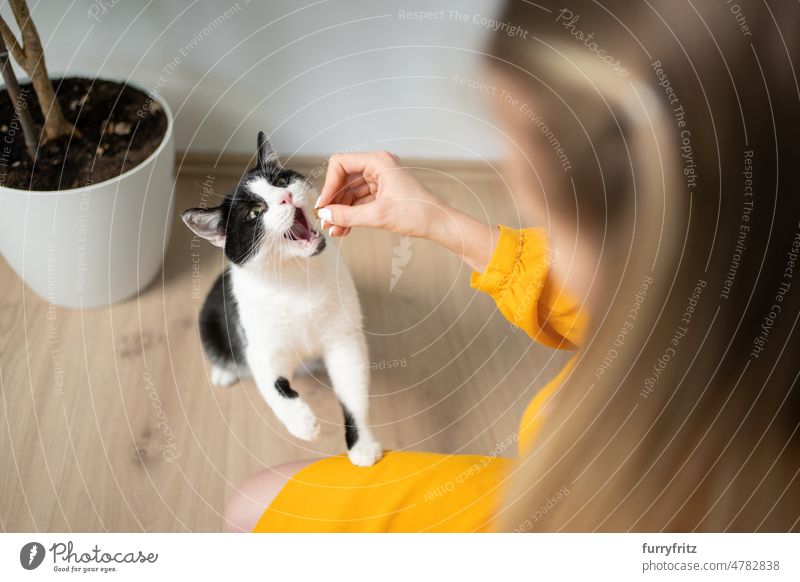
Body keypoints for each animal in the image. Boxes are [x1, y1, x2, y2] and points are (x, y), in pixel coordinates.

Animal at [181, 130, 382, 468]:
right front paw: (302, 422)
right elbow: (273, 385)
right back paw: (224, 371)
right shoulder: (261, 344)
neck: (296, 279)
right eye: (254, 212)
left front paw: (363, 445)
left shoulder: (344, 339)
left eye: (282, 179)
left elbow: (353, 390)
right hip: (210, 316)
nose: (286, 197)